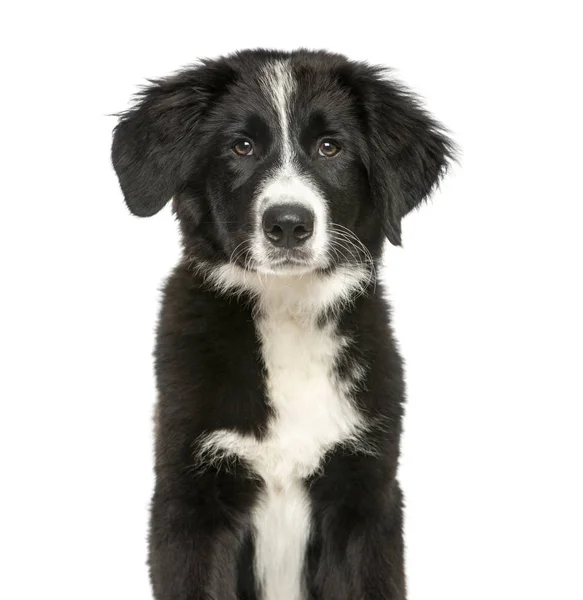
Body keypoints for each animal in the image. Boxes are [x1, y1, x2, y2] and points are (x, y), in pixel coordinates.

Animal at [110, 48, 456, 600]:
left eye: (330, 147)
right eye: (242, 146)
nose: (289, 224)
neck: (288, 313)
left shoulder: (367, 497)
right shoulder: (191, 498)